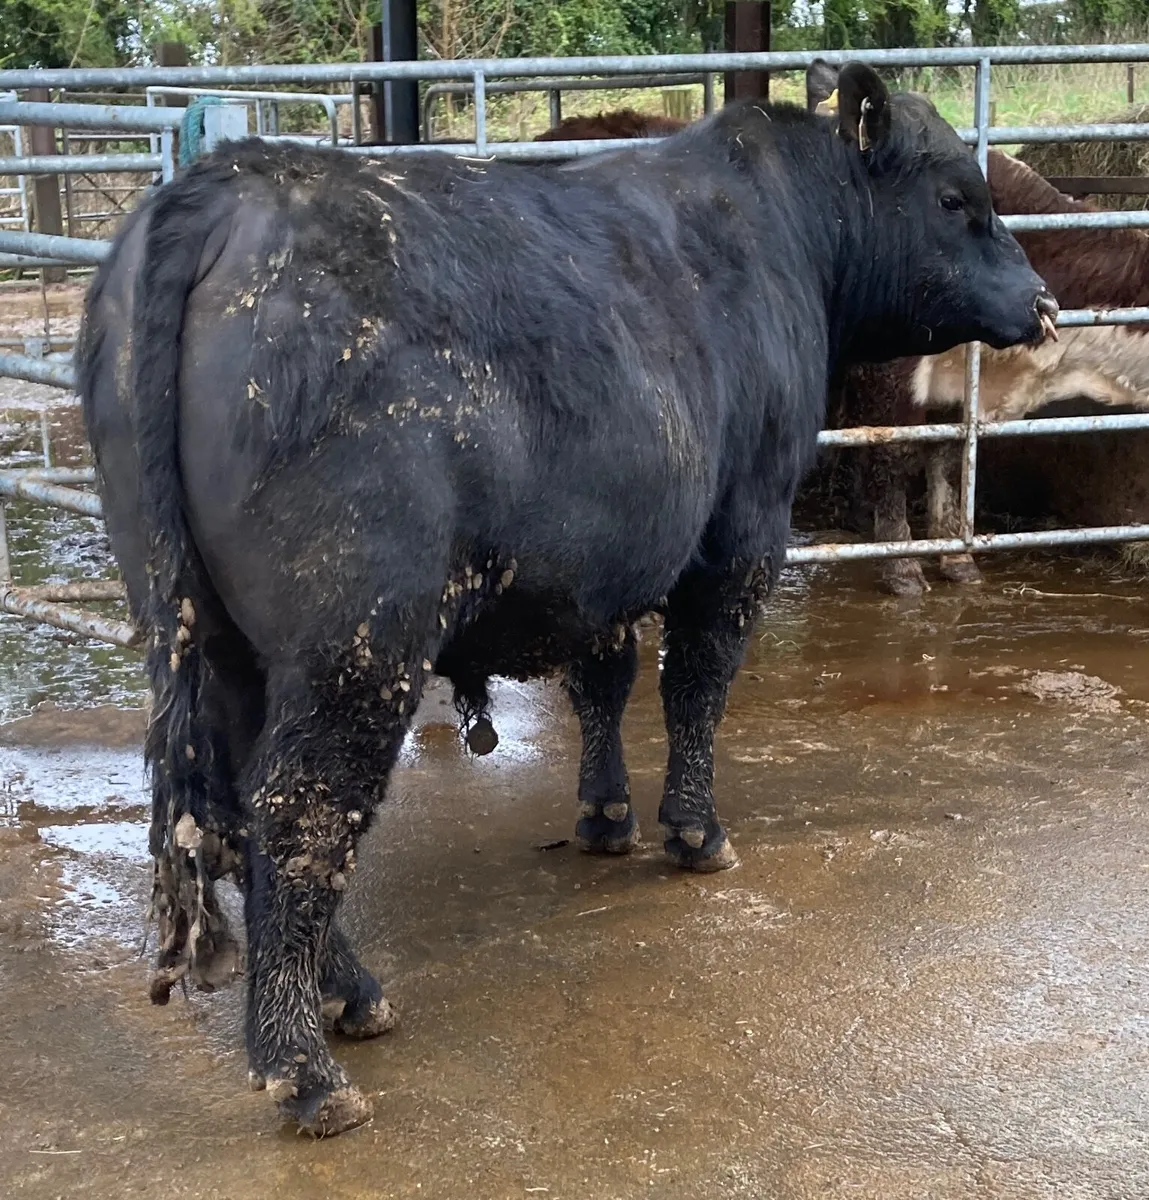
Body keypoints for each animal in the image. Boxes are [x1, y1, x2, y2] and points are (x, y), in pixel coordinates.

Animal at [79, 61, 1055, 1137]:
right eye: (957, 200)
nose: (1045, 302)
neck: (784, 232)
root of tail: (222, 189)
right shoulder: (742, 530)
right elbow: (695, 682)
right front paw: (694, 831)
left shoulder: (606, 560)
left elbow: (604, 678)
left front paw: (604, 815)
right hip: (355, 642)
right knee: (299, 811)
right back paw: (304, 1067)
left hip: (211, 635)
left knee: (248, 811)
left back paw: (352, 994)